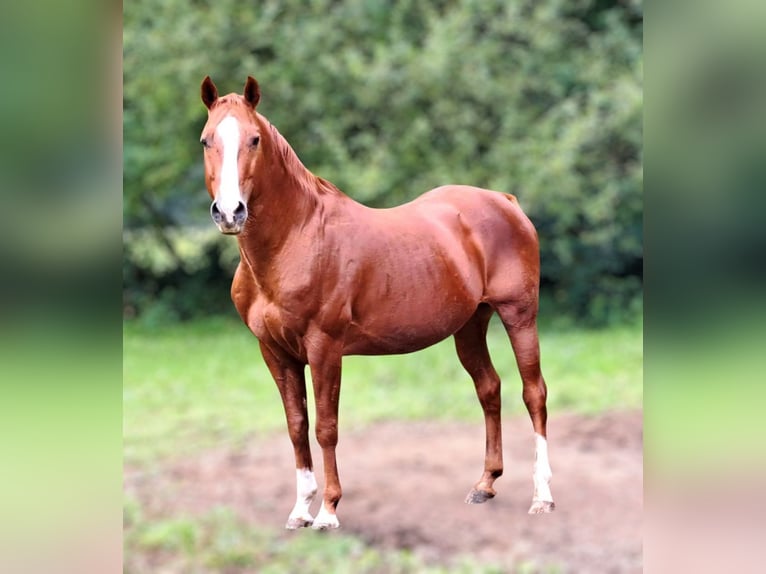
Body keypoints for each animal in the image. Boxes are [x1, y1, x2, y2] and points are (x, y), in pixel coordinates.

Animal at [200, 75, 560, 532]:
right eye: (206, 140)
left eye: (254, 139)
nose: (230, 212)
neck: (296, 238)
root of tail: (505, 200)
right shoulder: (275, 352)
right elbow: (297, 425)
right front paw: (300, 510)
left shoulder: (324, 349)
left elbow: (326, 427)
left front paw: (328, 512)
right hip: (469, 325)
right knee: (489, 388)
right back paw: (485, 484)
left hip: (519, 315)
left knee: (534, 393)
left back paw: (542, 496)